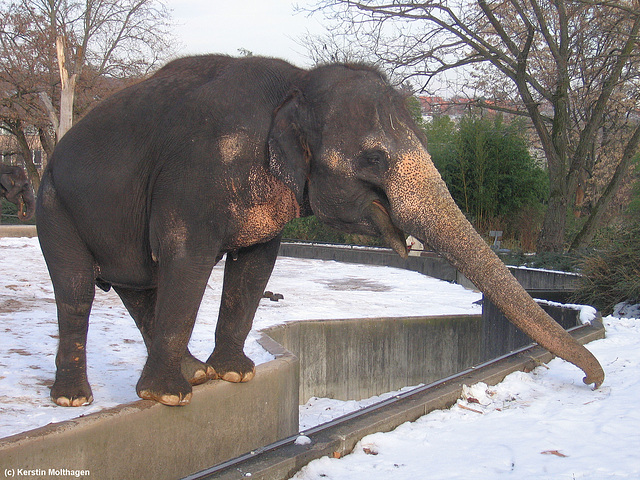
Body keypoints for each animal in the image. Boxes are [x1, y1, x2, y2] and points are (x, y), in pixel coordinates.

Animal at [36, 54, 604, 406]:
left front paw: (235, 374)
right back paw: (78, 397)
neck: (296, 84)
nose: (593, 381)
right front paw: (170, 399)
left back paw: (192, 370)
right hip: (54, 206)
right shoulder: (192, 176)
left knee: (136, 285)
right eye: (374, 159)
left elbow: (257, 263)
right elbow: (187, 257)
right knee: (78, 289)